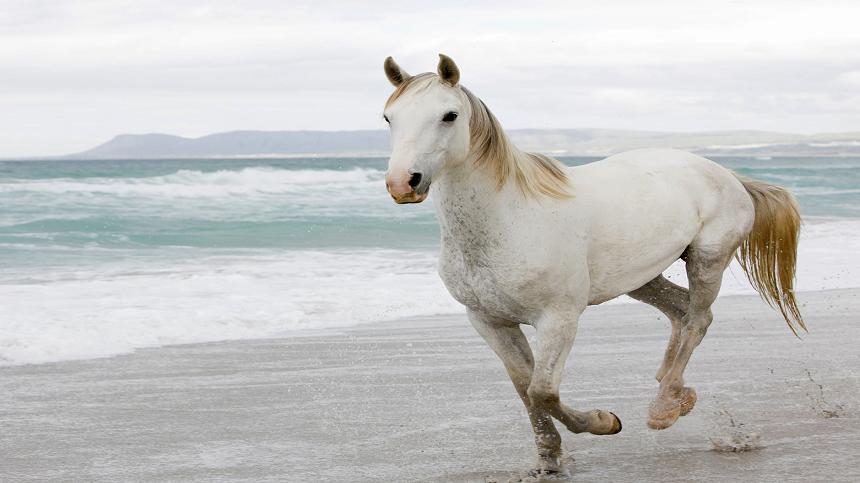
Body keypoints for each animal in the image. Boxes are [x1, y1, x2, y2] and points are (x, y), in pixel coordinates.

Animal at [380, 54, 804, 474]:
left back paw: (664, 406)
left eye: (449, 115)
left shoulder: (559, 318)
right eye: (389, 117)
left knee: (697, 320)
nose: (403, 182)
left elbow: (542, 391)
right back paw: (675, 390)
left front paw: (605, 421)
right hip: (641, 278)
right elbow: (524, 388)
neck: (509, 219)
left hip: (708, 259)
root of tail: (726, 173)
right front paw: (548, 458)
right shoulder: (489, 321)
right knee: (682, 311)